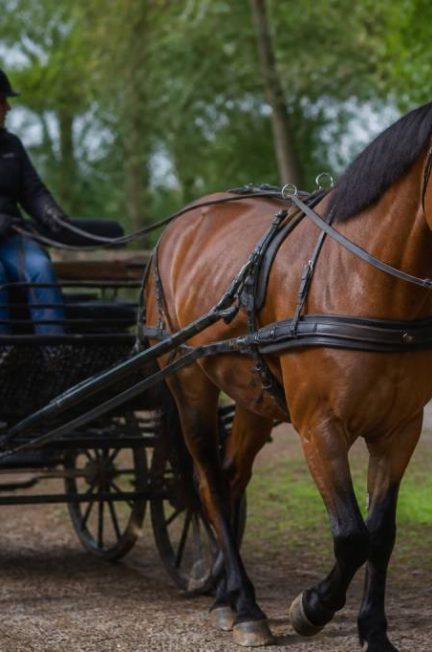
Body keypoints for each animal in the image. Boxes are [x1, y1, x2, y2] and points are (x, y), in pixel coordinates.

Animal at [143, 102, 432, 650]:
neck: (361, 279)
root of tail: (179, 228)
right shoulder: (319, 427)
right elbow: (352, 535)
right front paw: (311, 608)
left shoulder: (399, 430)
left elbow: (381, 535)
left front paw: (373, 631)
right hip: (189, 386)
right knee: (210, 484)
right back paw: (246, 607)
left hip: (253, 399)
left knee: (231, 478)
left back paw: (227, 596)